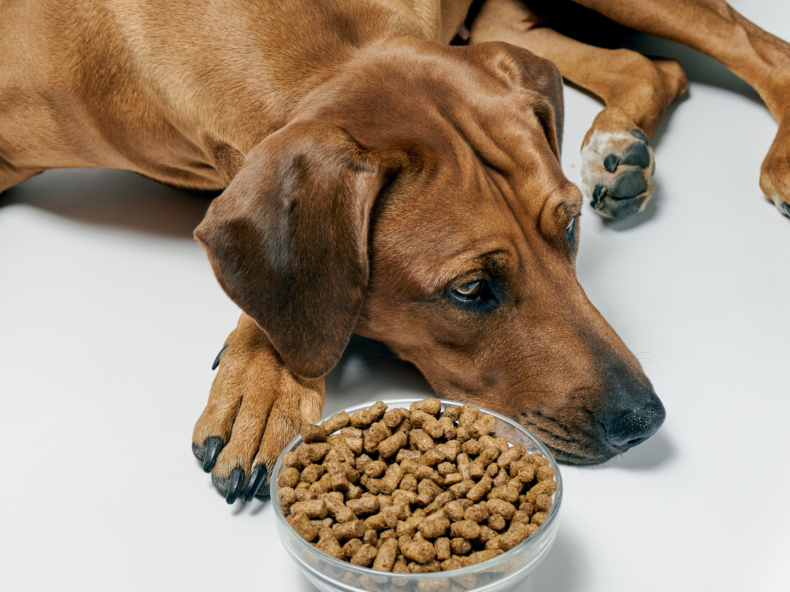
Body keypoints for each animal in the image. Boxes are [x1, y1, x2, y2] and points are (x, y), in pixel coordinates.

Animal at [0, 0, 788, 502]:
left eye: (567, 231)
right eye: (470, 290)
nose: (644, 420)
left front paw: (264, 378)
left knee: (752, 44)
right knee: (651, 65)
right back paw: (618, 145)